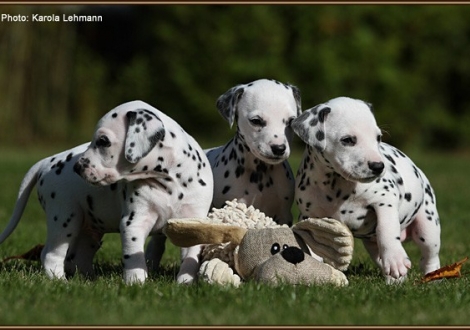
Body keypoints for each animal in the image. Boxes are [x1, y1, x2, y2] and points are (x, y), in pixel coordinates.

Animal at [0, 100, 213, 284]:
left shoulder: (193, 224)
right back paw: (60, 282)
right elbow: (134, 258)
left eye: (103, 141)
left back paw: (88, 280)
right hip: (64, 219)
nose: (78, 167)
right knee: (51, 254)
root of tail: (46, 162)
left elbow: (190, 258)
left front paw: (185, 283)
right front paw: (136, 283)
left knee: (78, 257)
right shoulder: (133, 223)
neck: (171, 182)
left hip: (89, 230)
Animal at [292, 96, 442, 284]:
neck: (337, 184)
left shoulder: (385, 200)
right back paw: (396, 279)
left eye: (378, 137)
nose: (378, 166)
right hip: (373, 245)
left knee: (429, 257)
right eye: (347, 140)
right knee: (381, 257)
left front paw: (395, 258)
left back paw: (433, 276)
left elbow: (386, 229)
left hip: (428, 228)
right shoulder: (310, 215)